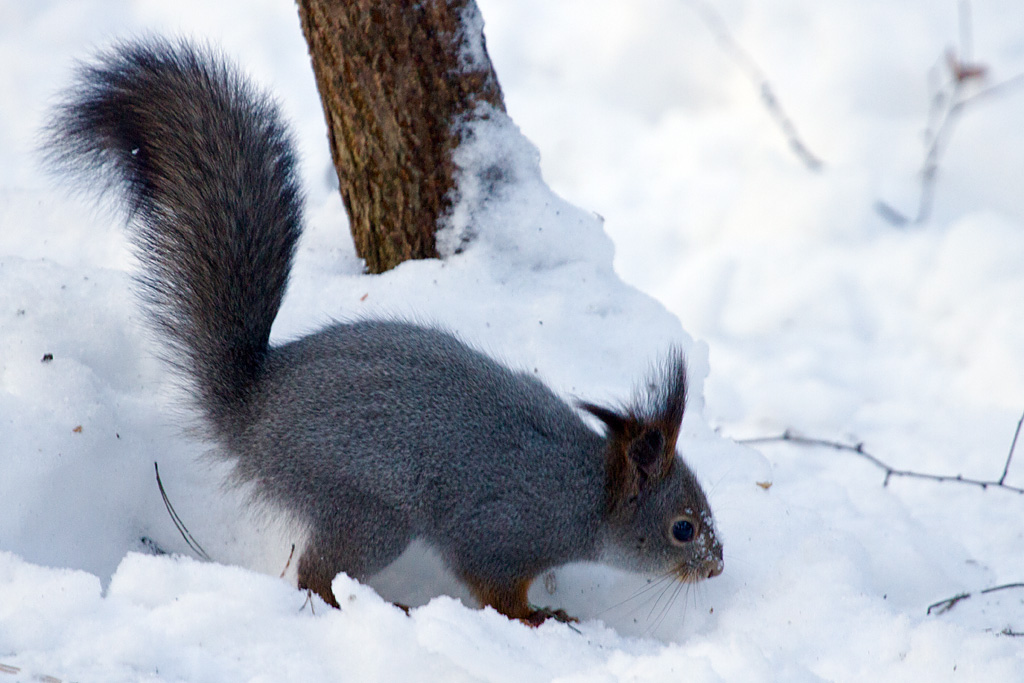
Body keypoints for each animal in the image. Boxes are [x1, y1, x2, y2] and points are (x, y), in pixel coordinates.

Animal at [46, 38, 720, 626]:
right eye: (682, 527)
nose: (715, 567)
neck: (586, 492)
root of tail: (251, 408)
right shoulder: (501, 531)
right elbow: (495, 588)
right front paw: (538, 617)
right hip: (368, 510)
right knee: (316, 576)